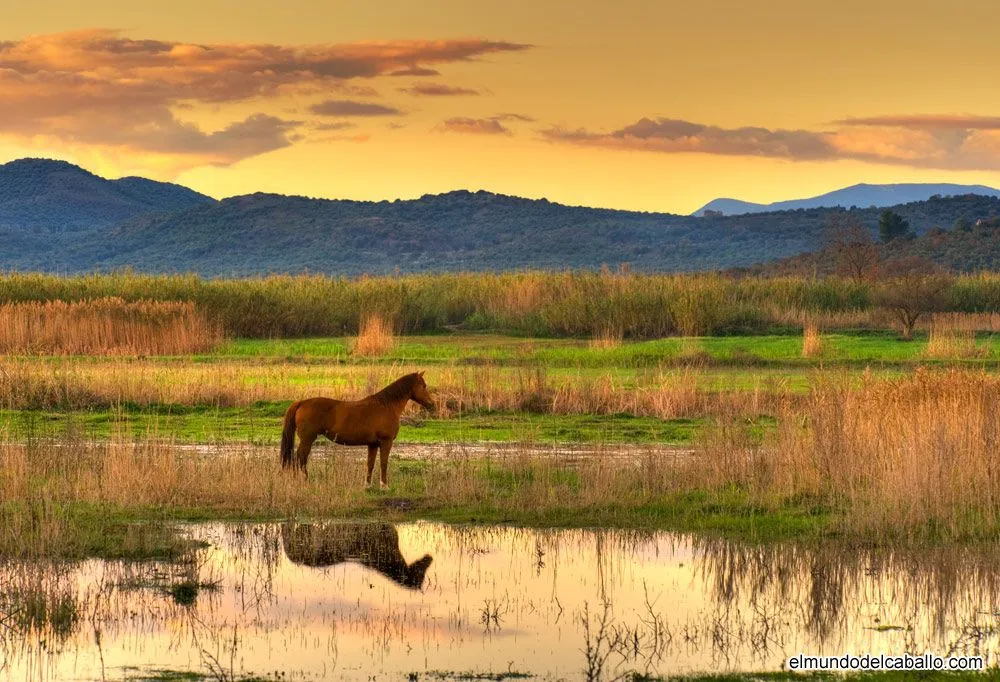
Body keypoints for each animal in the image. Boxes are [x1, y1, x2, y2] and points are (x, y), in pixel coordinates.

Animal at [284, 372, 436, 484]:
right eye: (423, 386)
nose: (432, 405)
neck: (386, 405)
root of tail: (302, 402)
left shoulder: (373, 444)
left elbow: (370, 464)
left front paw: (367, 485)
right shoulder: (386, 442)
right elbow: (384, 463)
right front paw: (384, 486)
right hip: (307, 440)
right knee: (300, 458)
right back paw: (304, 480)